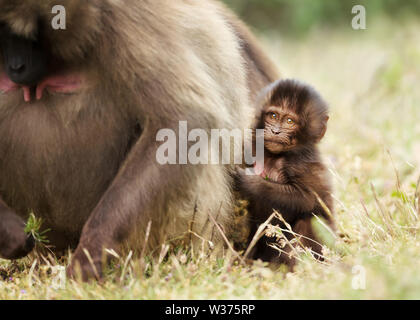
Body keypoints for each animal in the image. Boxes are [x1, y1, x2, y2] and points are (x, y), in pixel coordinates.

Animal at [238, 79, 334, 266]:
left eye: (290, 121)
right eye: (273, 116)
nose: (275, 131)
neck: (275, 156)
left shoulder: (301, 163)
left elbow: (307, 199)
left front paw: (249, 181)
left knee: (308, 220)